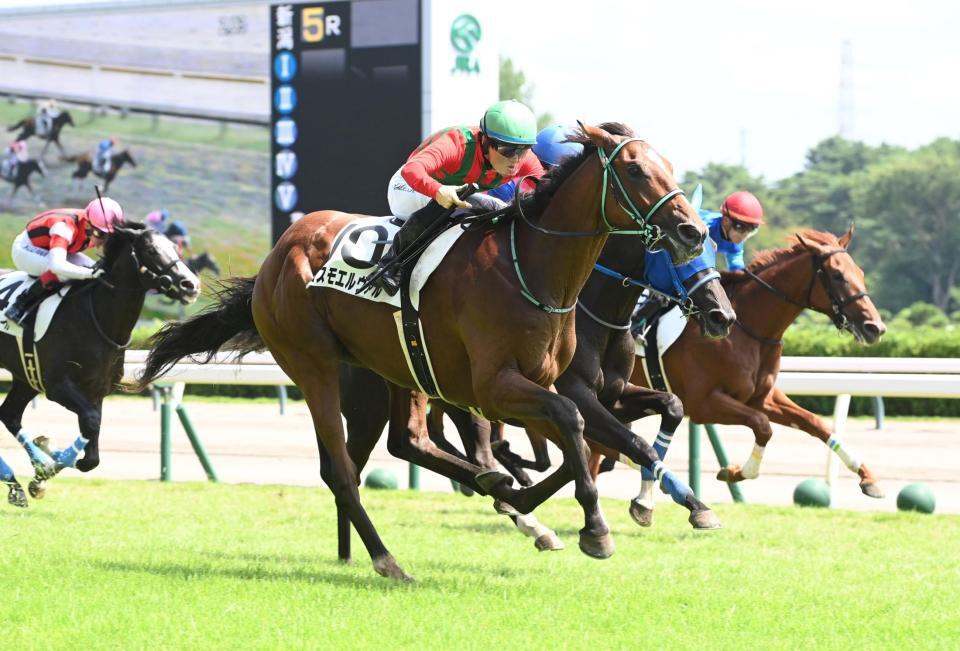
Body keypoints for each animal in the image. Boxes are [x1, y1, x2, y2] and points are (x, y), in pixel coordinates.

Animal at [0, 223, 200, 508]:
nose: (190, 284)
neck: (98, 319)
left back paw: (16, 481)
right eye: (151, 250)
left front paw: (42, 469)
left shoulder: (96, 391)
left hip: (26, 376)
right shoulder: (58, 386)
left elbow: (91, 453)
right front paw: (49, 463)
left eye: (175, 247)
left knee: (9, 415)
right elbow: (91, 424)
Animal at [136, 122, 708, 581]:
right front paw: (595, 528)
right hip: (314, 363)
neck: (535, 270)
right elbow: (578, 429)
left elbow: (596, 445)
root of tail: (279, 251)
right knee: (342, 470)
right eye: (635, 170)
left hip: (396, 368)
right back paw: (386, 559)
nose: (693, 231)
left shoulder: (539, 386)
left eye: (667, 166)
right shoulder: (499, 388)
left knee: (405, 443)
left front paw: (528, 500)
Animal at [621, 227, 887, 520]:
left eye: (860, 272)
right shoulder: (702, 404)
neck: (748, 329)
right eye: (838, 275)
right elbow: (762, 425)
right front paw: (735, 472)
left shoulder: (761, 397)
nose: (875, 327)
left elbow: (815, 423)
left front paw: (868, 477)